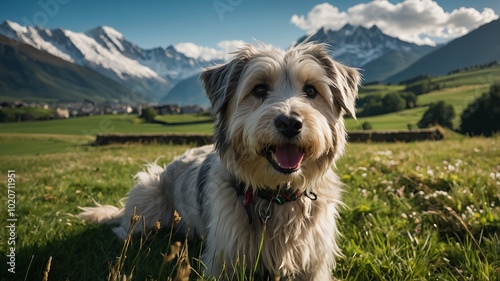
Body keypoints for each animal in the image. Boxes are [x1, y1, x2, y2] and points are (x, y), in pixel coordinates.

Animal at [78, 42, 360, 278]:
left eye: (311, 91)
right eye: (259, 89)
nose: (290, 123)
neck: (277, 196)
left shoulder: (314, 261)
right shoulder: (224, 259)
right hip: (147, 196)